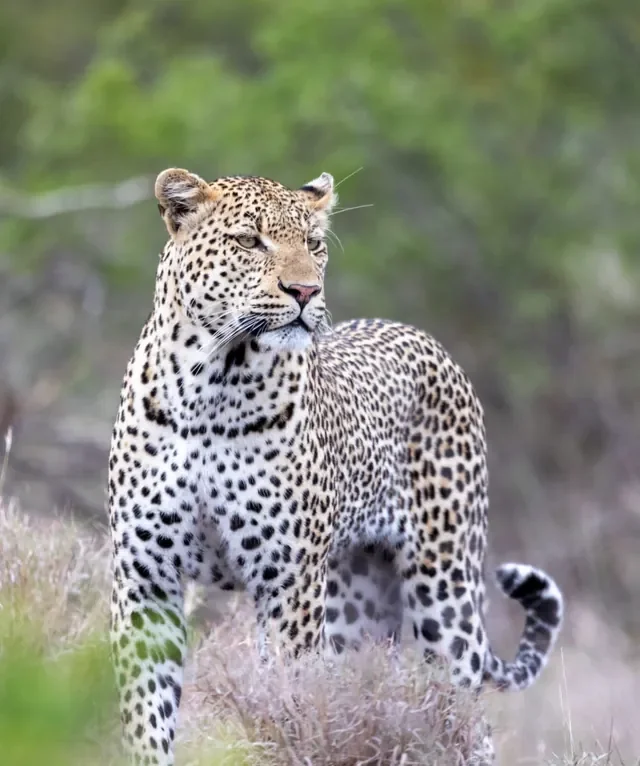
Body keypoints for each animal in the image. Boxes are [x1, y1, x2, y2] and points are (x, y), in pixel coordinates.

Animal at [108, 166, 564, 765]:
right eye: (249, 241)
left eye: (314, 245)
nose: (305, 291)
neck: (214, 383)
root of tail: (421, 336)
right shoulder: (145, 576)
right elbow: (146, 713)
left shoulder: (289, 582)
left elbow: (284, 699)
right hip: (356, 610)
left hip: (445, 595)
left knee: (470, 722)